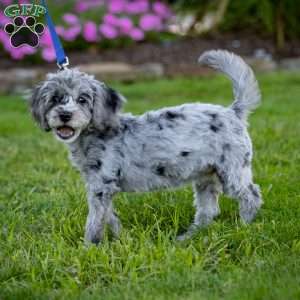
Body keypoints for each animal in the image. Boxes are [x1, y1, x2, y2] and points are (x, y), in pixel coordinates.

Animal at [28, 50, 262, 244]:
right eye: (55, 99)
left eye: (83, 100)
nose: (65, 115)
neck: (96, 134)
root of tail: (233, 111)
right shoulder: (99, 185)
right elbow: (109, 216)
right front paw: (122, 238)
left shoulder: (102, 185)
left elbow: (94, 220)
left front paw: (89, 247)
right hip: (206, 176)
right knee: (208, 211)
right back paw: (188, 237)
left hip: (233, 170)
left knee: (251, 195)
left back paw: (243, 227)